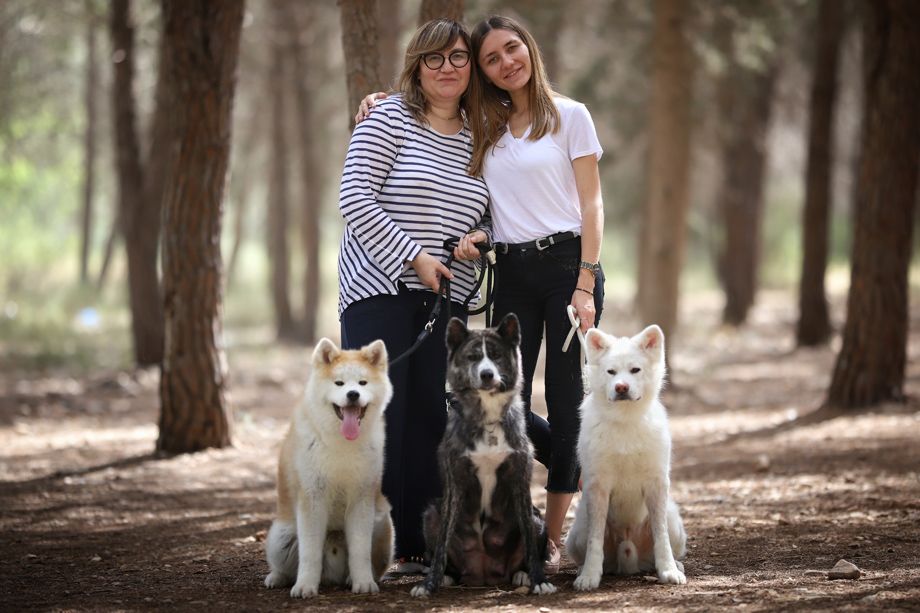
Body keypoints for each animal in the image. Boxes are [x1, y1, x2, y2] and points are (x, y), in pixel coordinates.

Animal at [264, 338, 394, 598]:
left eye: (363, 382)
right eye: (339, 383)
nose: (353, 394)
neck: (341, 443)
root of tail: (330, 577)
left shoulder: (361, 498)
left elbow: (360, 552)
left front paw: (363, 582)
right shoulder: (312, 498)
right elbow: (310, 553)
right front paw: (305, 586)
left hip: (382, 522)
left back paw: (351, 578)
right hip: (280, 537)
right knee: (284, 566)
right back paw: (277, 577)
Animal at [410, 314, 556, 597]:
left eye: (497, 355)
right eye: (473, 357)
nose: (487, 374)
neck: (487, 417)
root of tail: (484, 574)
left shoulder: (520, 481)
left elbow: (530, 544)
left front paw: (539, 580)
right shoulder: (455, 481)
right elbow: (442, 544)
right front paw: (429, 584)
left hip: (537, 519)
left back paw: (522, 575)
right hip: (431, 514)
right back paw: (447, 577)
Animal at [565, 325, 687, 589]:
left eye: (635, 370)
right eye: (611, 372)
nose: (621, 387)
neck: (625, 419)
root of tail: (629, 555)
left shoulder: (656, 485)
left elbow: (661, 537)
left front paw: (669, 571)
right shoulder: (598, 487)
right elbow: (595, 541)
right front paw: (589, 576)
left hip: (673, 519)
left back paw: (675, 564)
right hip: (578, 531)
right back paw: (583, 569)